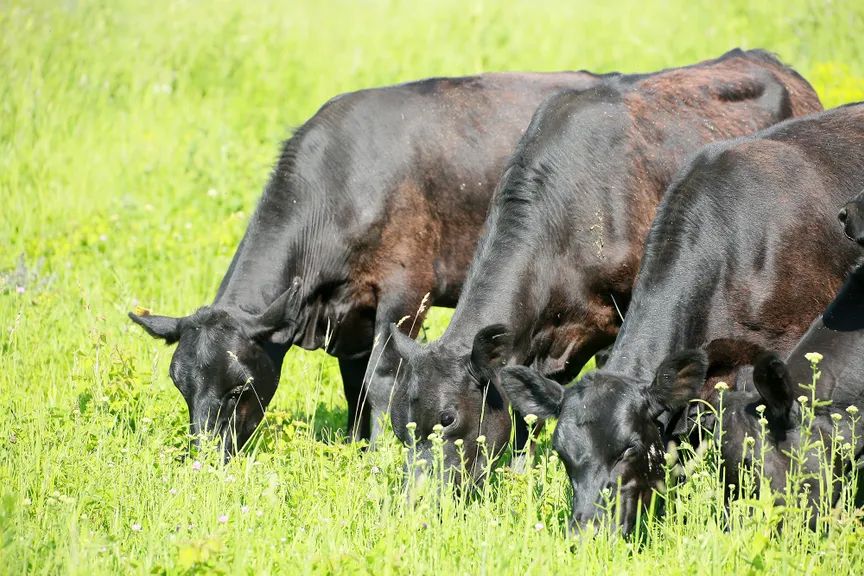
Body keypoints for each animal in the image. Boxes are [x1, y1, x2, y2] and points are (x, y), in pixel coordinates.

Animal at [126, 71, 608, 454]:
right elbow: (354, 386)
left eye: (239, 385)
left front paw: (377, 455)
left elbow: (381, 382)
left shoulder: (405, 292)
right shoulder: (352, 318)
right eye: (181, 385)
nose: (208, 458)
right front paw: (355, 448)